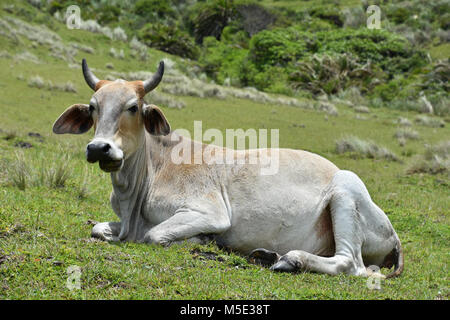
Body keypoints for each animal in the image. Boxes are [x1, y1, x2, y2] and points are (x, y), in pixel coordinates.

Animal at [52, 59, 404, 278]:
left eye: (133, 107)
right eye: (93, 107)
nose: (99, 148)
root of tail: (393, 233)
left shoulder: (209, 212)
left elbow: (154, 235)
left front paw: (204, 241)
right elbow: (98, 228)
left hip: (345, 191)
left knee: (350, 264)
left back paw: (291, 260)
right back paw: (267, 256)